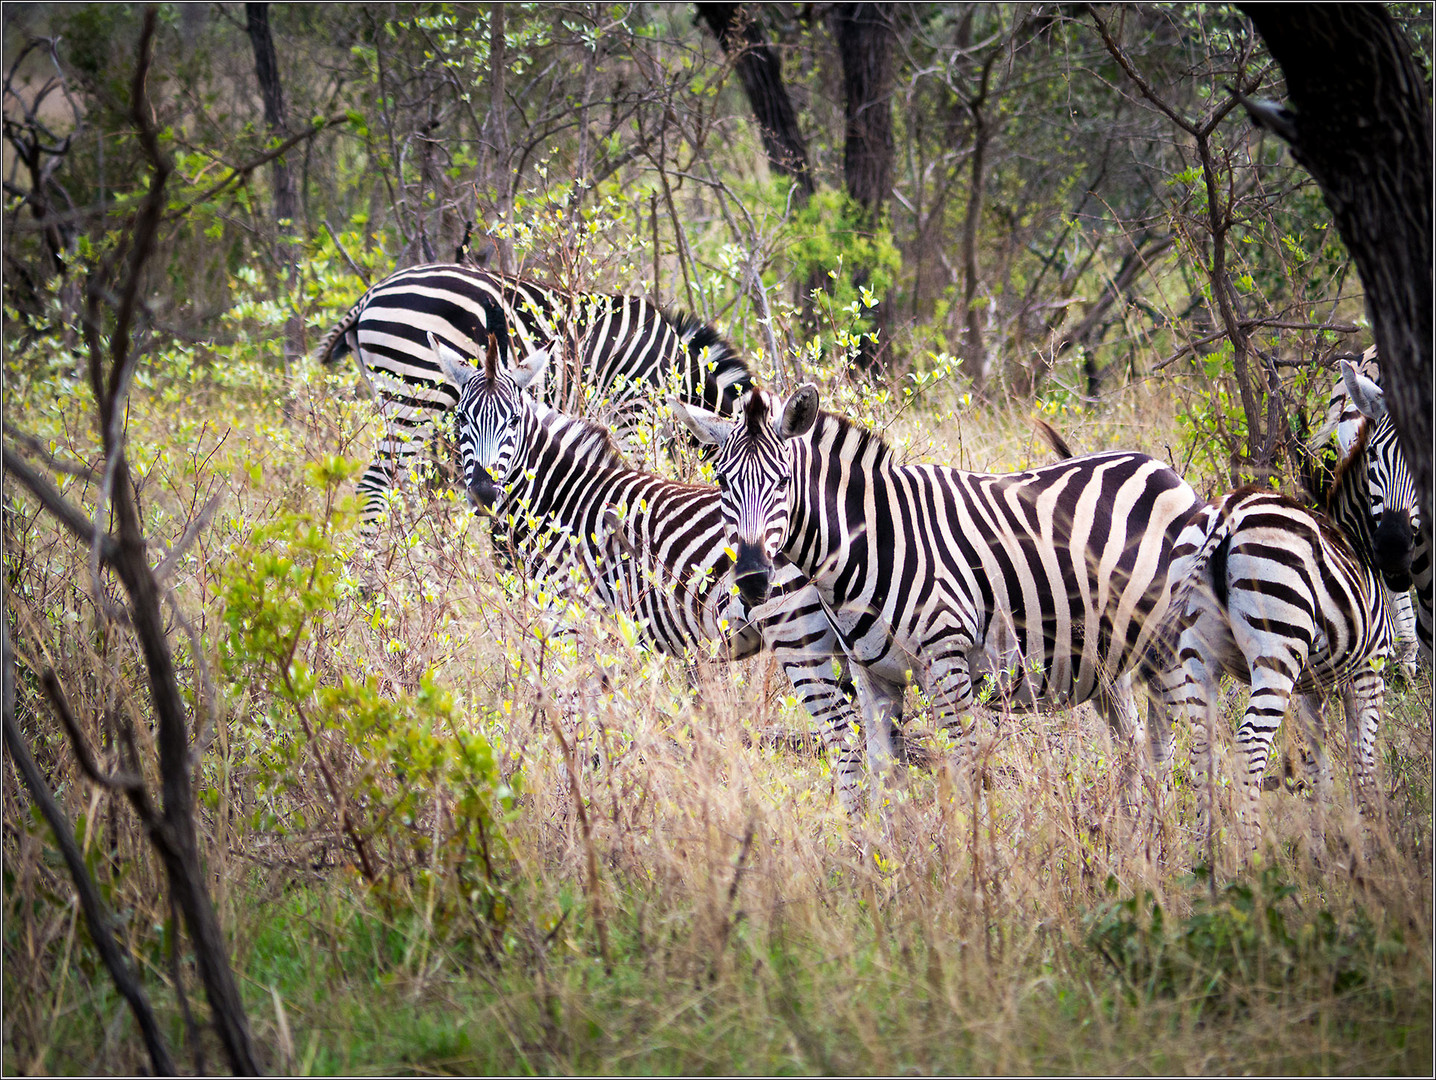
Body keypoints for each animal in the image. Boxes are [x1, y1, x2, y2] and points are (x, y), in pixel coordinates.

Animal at [317, 264, 752, 528]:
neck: (671, 364)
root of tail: (371, 294)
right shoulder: (632, 411)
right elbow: (642, 476)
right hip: (414, 392)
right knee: (375, 485)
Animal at [425, 333, 873, 815]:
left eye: (511, 421)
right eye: (461, 420)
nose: (484, 493)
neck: (562, 505)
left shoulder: (571, 625)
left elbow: (573, 722)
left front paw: (574, 808)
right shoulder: (604, 636)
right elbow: (598, 727)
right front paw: (600, 802)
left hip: (796, 635)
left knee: (844, 735)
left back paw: (854, 827)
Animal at [669, 384, 1200, 798]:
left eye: (782, 482)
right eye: (722, 483)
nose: (754, 579)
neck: (868, 547)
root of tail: (1160, 468)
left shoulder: (948, 664)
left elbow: (963, 775)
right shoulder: (873, 677)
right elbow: (885, 780)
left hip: (1167, 648)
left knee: (1182, 746)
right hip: (1107, 661)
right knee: (1136, 748)